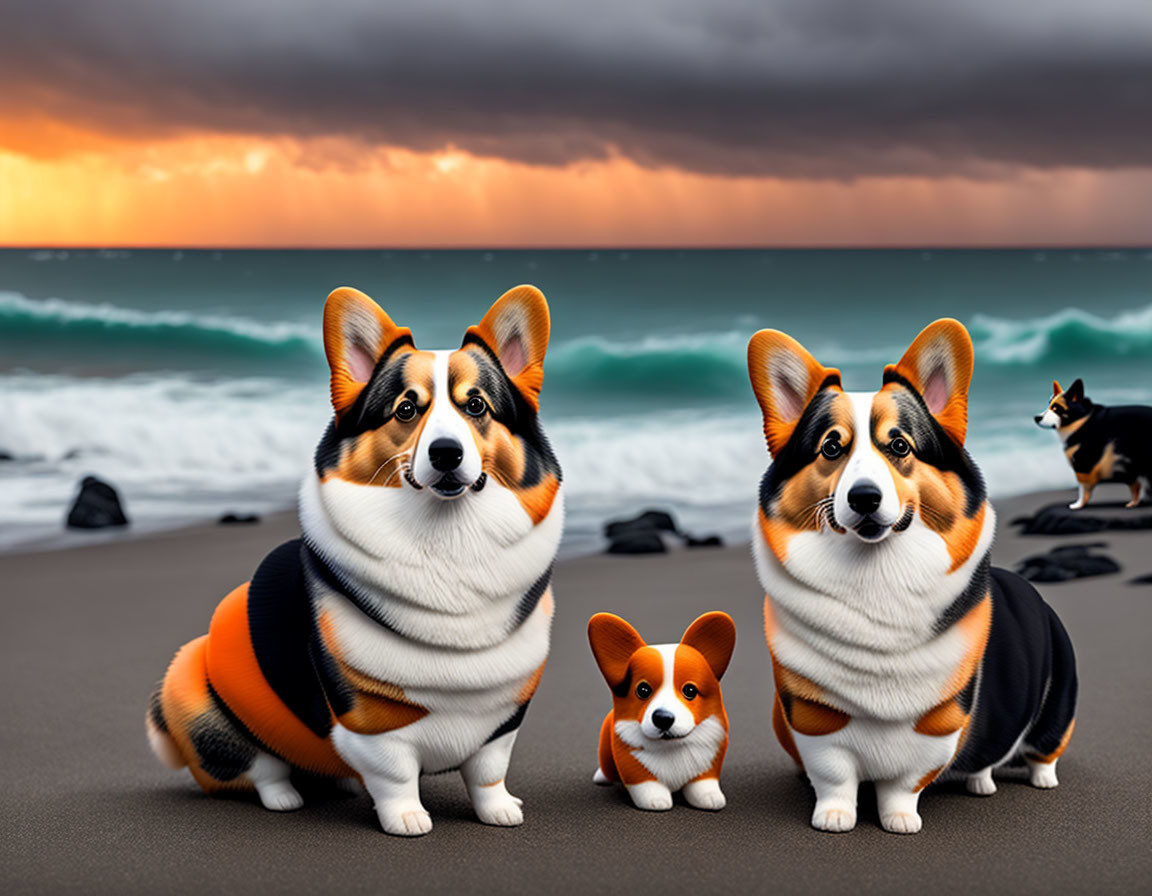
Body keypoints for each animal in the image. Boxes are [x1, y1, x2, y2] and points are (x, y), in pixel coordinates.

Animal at [148, 283, 562, 833]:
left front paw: (499, 811)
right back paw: (285, 797)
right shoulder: (370, 724)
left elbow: (487, 772)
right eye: (406, 410)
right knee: (263, 767)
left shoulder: (502, 721)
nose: (446, 453)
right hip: (193, 685)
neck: (446, 540)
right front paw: (406, 818)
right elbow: (395, 775)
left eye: (477, 405)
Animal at [589, 608, 732, 810]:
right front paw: (655, 800)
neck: (670, 747)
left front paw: (710, 797)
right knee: (607, 769)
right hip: (605, 752)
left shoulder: (711, 759)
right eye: (643, 690)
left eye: (690, 690)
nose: (663, 718)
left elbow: (703, 783)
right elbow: (646, 784)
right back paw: (601, 776)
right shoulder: (630, 763)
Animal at [746, 320, 1078, 829]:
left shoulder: (939, 723)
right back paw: (981, 781)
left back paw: (1038, 779)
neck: (875, 577)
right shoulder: (815, 720)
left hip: (1057, 699)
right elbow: (834, 776)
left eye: (899, 445)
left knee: (1043, 749)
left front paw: (900, 820)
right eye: (831, 447)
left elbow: (903, 785)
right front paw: (834, 817)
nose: (864, 497)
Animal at [1036, 375, 1152, 506]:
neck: (1081, 420)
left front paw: (1078, 505)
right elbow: (1135, 485)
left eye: (1056, 408)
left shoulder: (1084, 464)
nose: (1036, 418)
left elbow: (1083, 489)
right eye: (1049, 405)